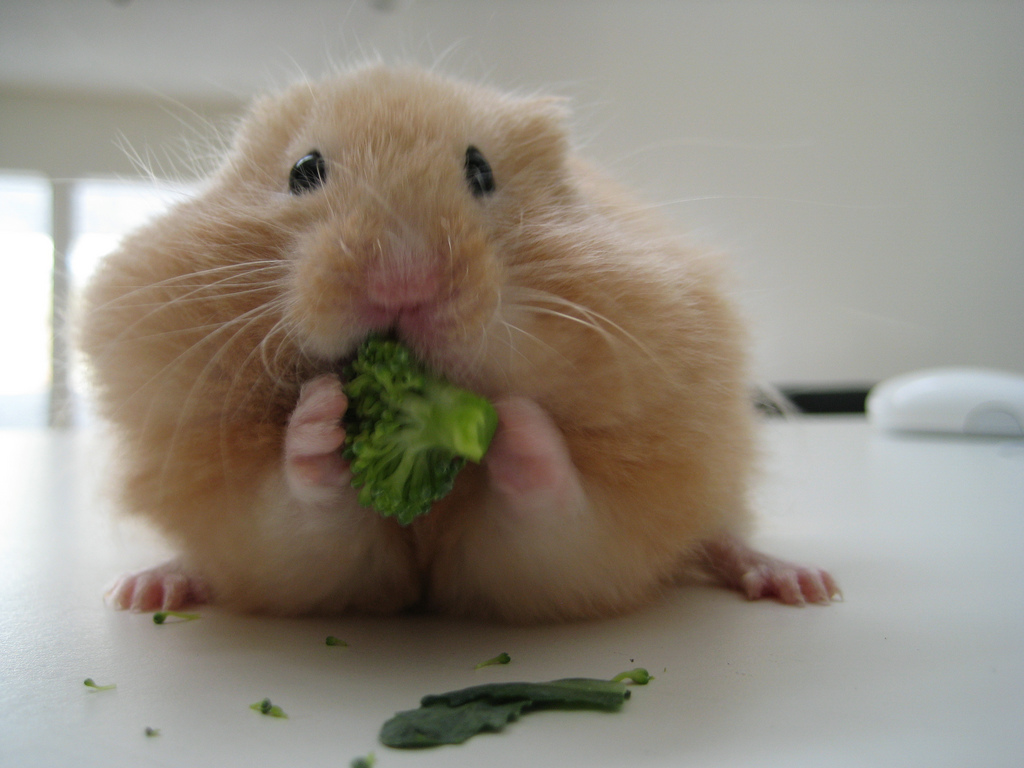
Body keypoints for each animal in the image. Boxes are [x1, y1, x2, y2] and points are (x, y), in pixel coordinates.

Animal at [79, 65, 838, 622]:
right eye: (303, 170)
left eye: (481, 171)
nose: (402, 282)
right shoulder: (289, 553)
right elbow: (299, 508)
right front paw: (320, 415)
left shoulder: (565, 557)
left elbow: (554, 505)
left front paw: (516, 425)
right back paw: (145, 589)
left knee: (720, 535)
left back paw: (799, 582)